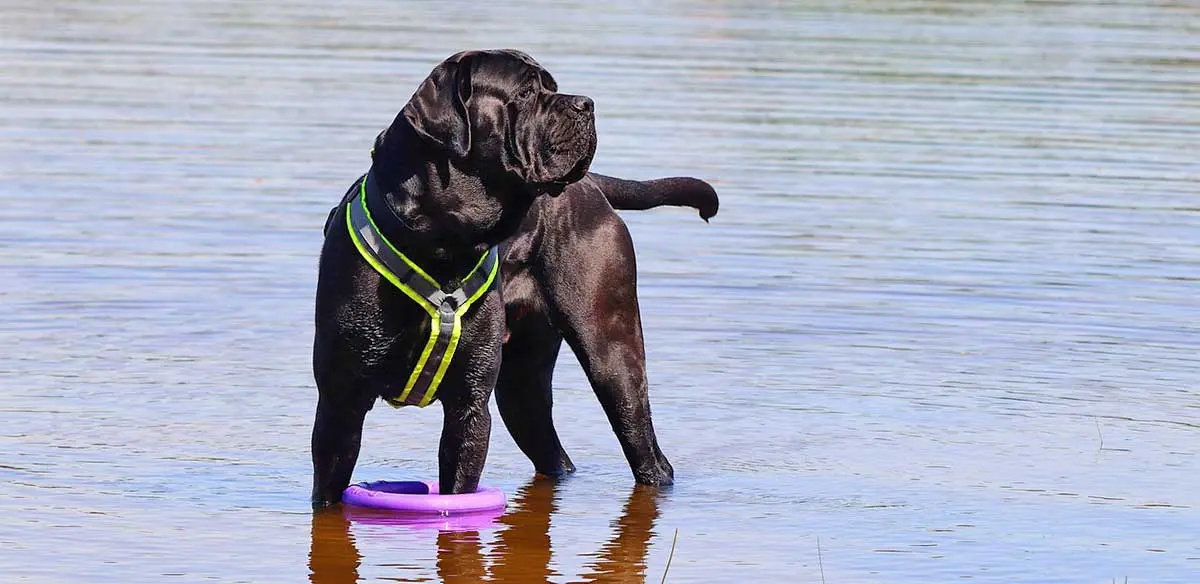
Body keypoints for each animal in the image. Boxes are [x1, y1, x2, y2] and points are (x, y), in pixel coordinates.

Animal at [314, 49, 715, 508]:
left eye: (552, 87)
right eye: (524, 91)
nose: (586, 104)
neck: (441, 244)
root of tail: (592, 187)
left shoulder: (470, 408)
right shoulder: (339, 406)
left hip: (613, 357)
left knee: (645, 448)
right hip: (522, 386)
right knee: (551, 450)